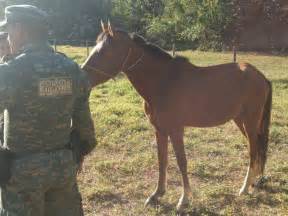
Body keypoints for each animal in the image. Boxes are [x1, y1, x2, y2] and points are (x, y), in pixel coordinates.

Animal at [81, 22, 272, 213]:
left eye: (104, 51)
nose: (82, 77)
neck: (163, 82)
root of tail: (260, 76)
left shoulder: (176, 130)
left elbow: (182, 161)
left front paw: (184, 199)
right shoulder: (159, 130)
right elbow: (162, 160)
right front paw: (157, 194)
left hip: (250, 121)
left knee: (253, 150)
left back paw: (244, 188)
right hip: (240, 120)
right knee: (256, 148)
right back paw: (254, 181)